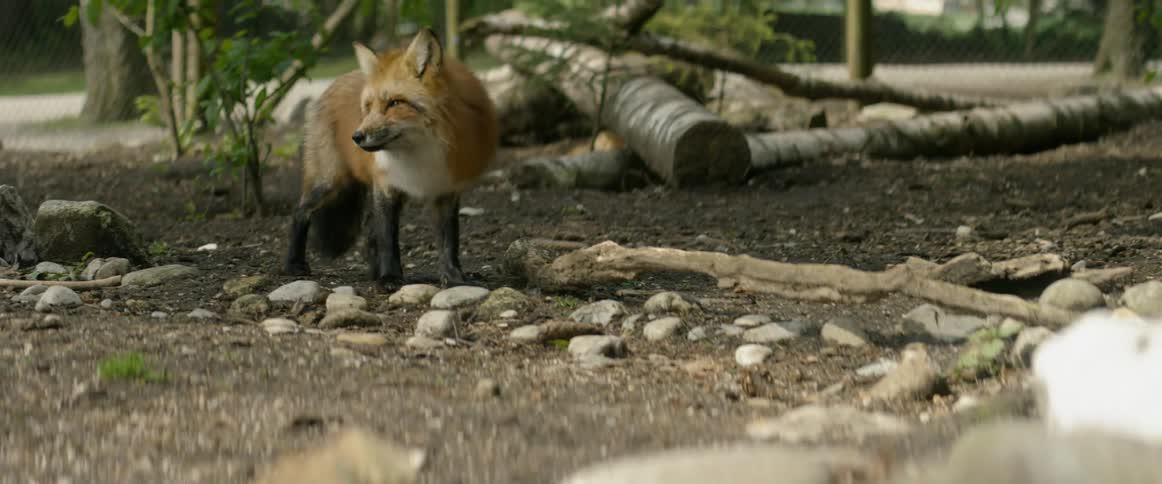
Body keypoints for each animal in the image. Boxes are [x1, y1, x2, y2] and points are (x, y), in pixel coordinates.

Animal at [283, 28, 500, 289]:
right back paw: (294, 264)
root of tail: (335, 82)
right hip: (329, 182)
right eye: (368, 107)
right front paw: (390, 278)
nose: (356, 137)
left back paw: (373, 272)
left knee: (369, 232)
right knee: (300, 212)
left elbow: (449, 240)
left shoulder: (446, 190)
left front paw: (454, 278)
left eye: (395, 103)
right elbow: (388, 237)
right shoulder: (386, 186)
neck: (421, 154)